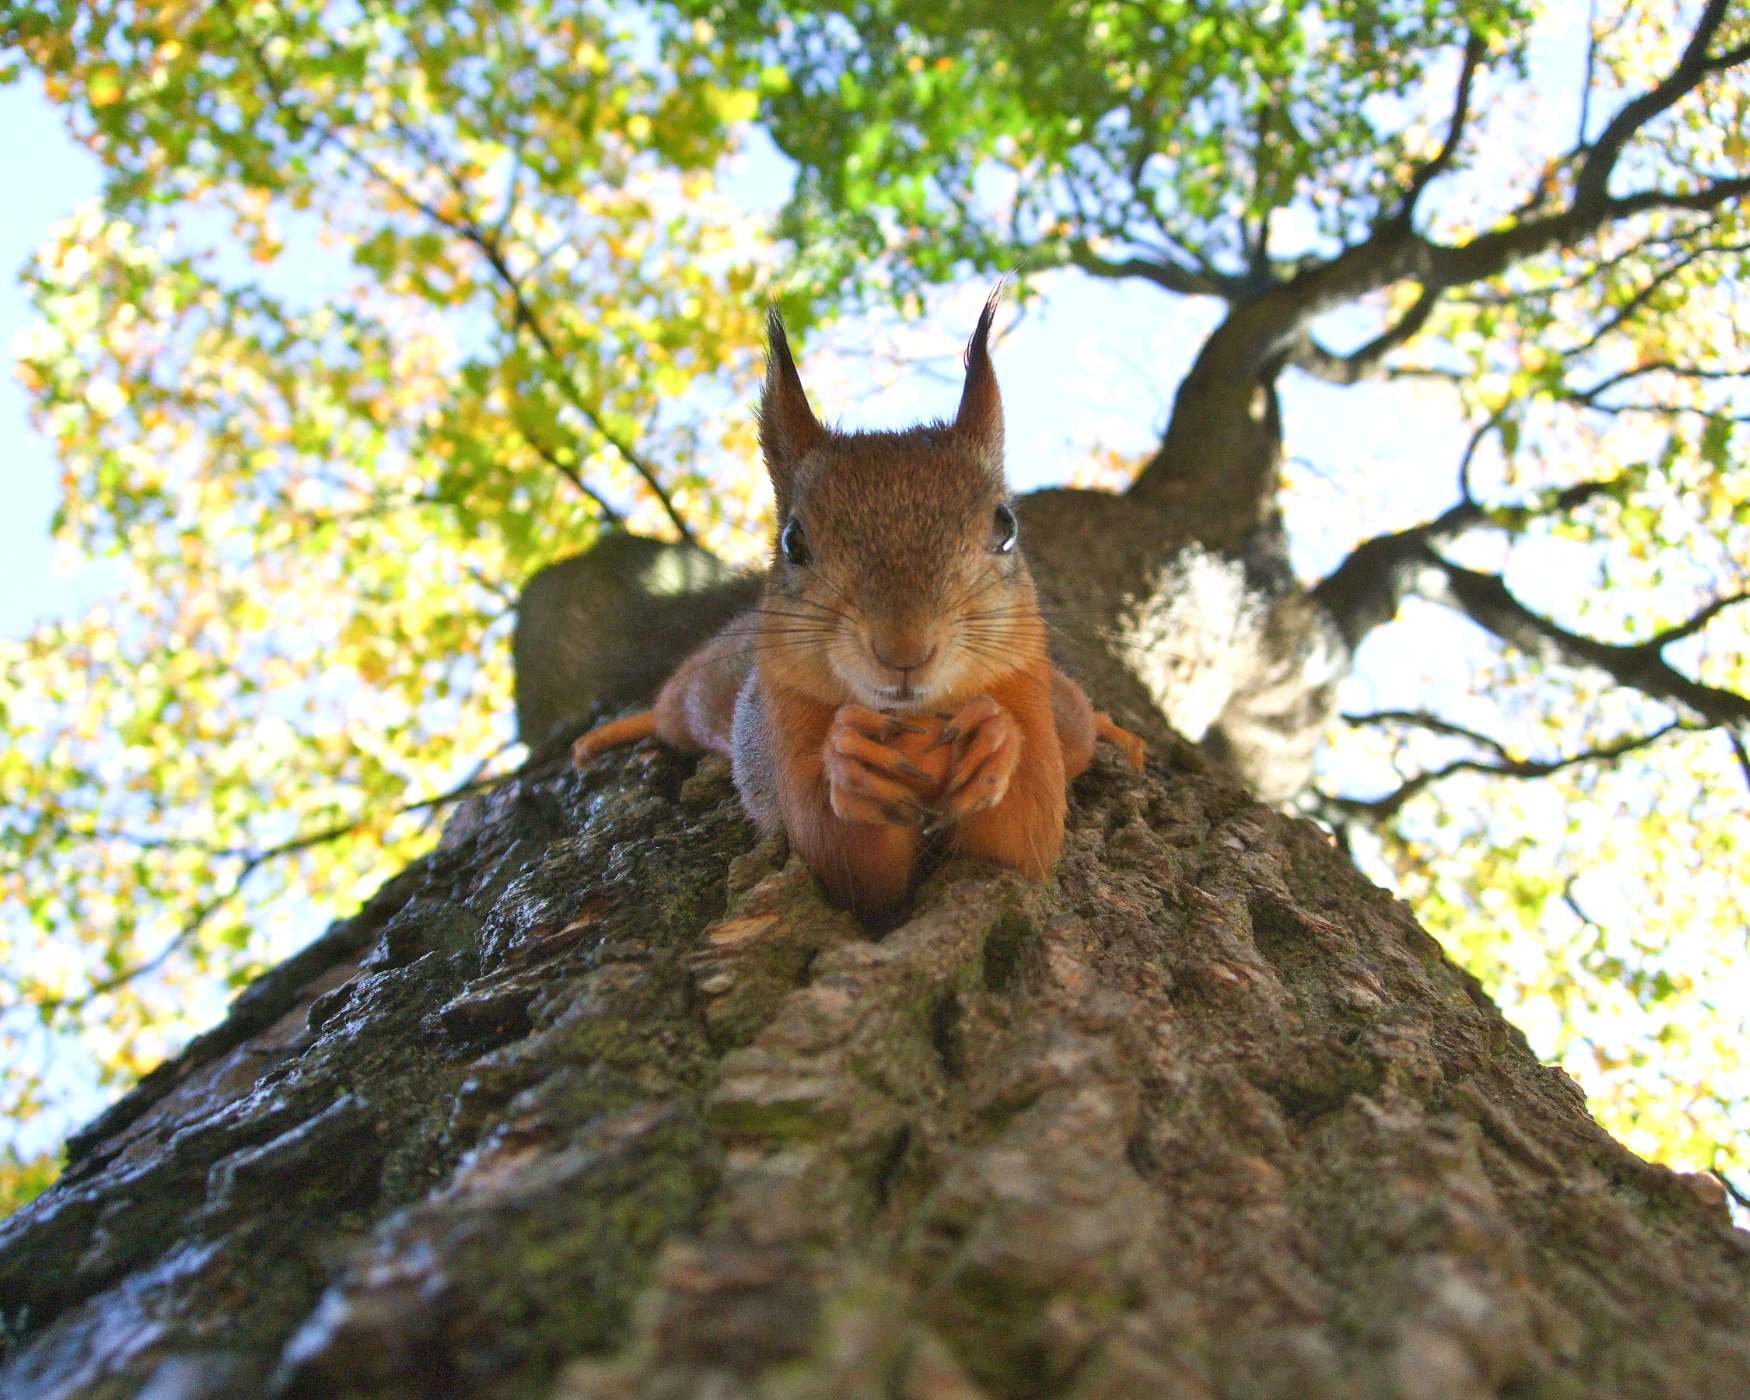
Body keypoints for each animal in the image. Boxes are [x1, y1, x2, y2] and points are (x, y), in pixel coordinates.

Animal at [574, 292, 1148, 917]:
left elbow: (1025, 838)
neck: (916, 722)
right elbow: (847, 862)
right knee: (667, 712)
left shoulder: (1027, 692)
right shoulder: (785, 724)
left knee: (1081, 721)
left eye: (1006, 526)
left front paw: (995, 739)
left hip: (1064, 711)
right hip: (699, 698)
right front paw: (849, 763)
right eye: (793, 542)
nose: (904, 650)